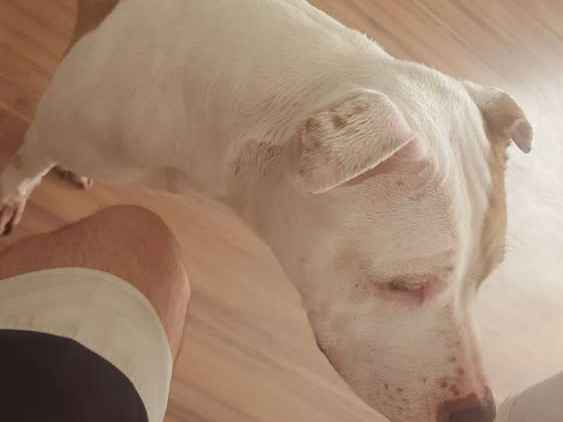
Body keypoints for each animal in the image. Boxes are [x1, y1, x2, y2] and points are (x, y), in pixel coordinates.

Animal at [0, 1, 533, 421]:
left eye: (481, 280)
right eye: (403, 284)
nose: (477, 413)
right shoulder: (49, 135)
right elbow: (24, 168)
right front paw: (13, 195)